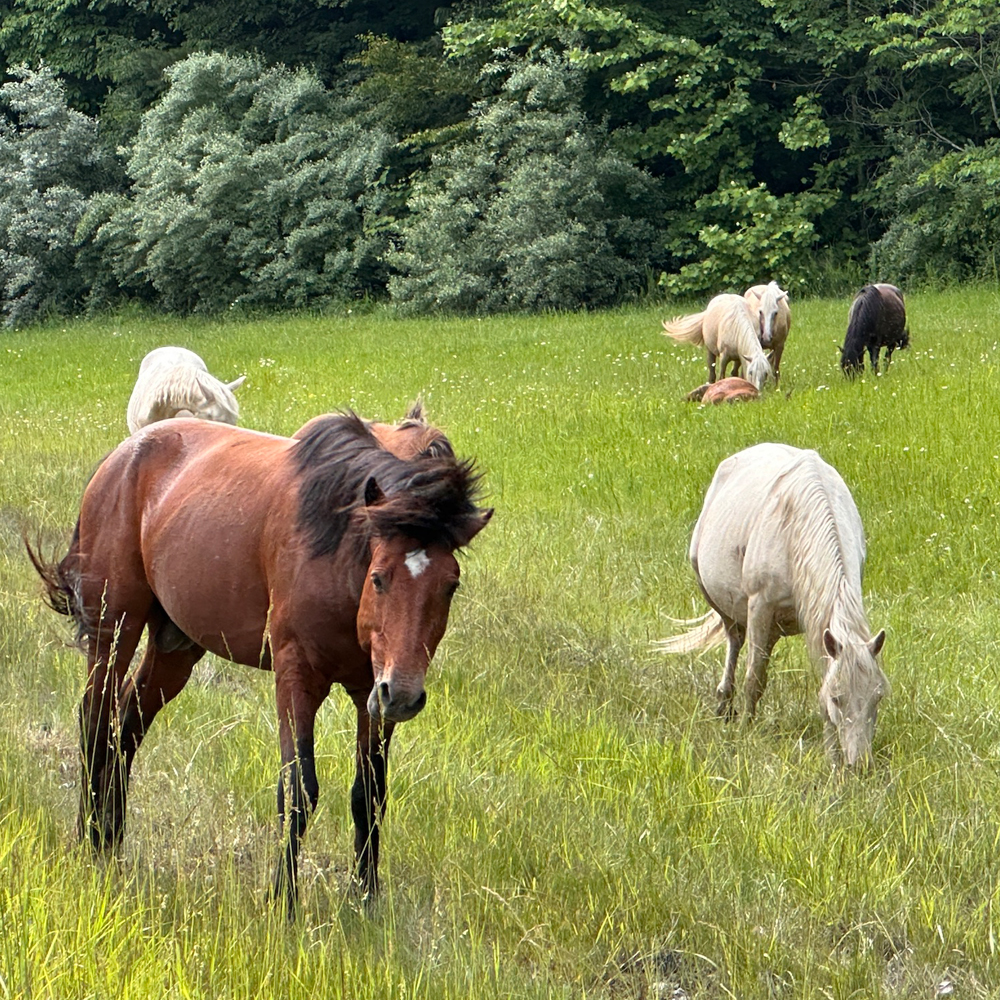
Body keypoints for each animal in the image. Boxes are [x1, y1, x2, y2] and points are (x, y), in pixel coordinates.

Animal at [27, 411, 492, 916]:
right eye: (379, 577)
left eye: (450, 585)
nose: (404, 695)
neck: (335, 553)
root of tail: (120, 458)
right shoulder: (297, 677)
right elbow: (299, 790)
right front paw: (283, 901)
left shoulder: (372, 694)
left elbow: (369, 794)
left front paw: (365, 897)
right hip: (114, 627)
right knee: (95, 720)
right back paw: (88, 841)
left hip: (176, 644)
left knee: (126, 724)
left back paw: (110, 839)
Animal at [657, 443, 888, 767]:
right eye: (837, 698)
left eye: (877, 697)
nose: (860, 764)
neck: (797, 529)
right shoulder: (760, 609)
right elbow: (754, 677)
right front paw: (745, 729)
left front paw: (831, 754)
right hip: (721, 601)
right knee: (734, 640)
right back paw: (724, 705)